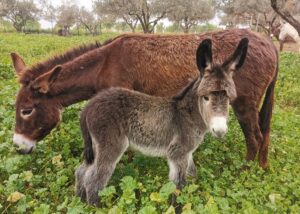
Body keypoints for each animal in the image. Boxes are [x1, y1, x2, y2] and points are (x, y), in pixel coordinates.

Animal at [74, 38, 248, 206]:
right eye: (205, 97)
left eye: (229, 98)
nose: (220, 130)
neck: (188, 115)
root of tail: (89, 106)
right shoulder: (177, 153)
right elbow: (177, 186)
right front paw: (176, 207)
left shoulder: (188, 153)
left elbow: (192, 175)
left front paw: (194, 197)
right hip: (111, 145)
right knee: (94, 181)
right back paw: (95, 207)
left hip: (96, 147)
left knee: (81, 171)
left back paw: (80, 201)